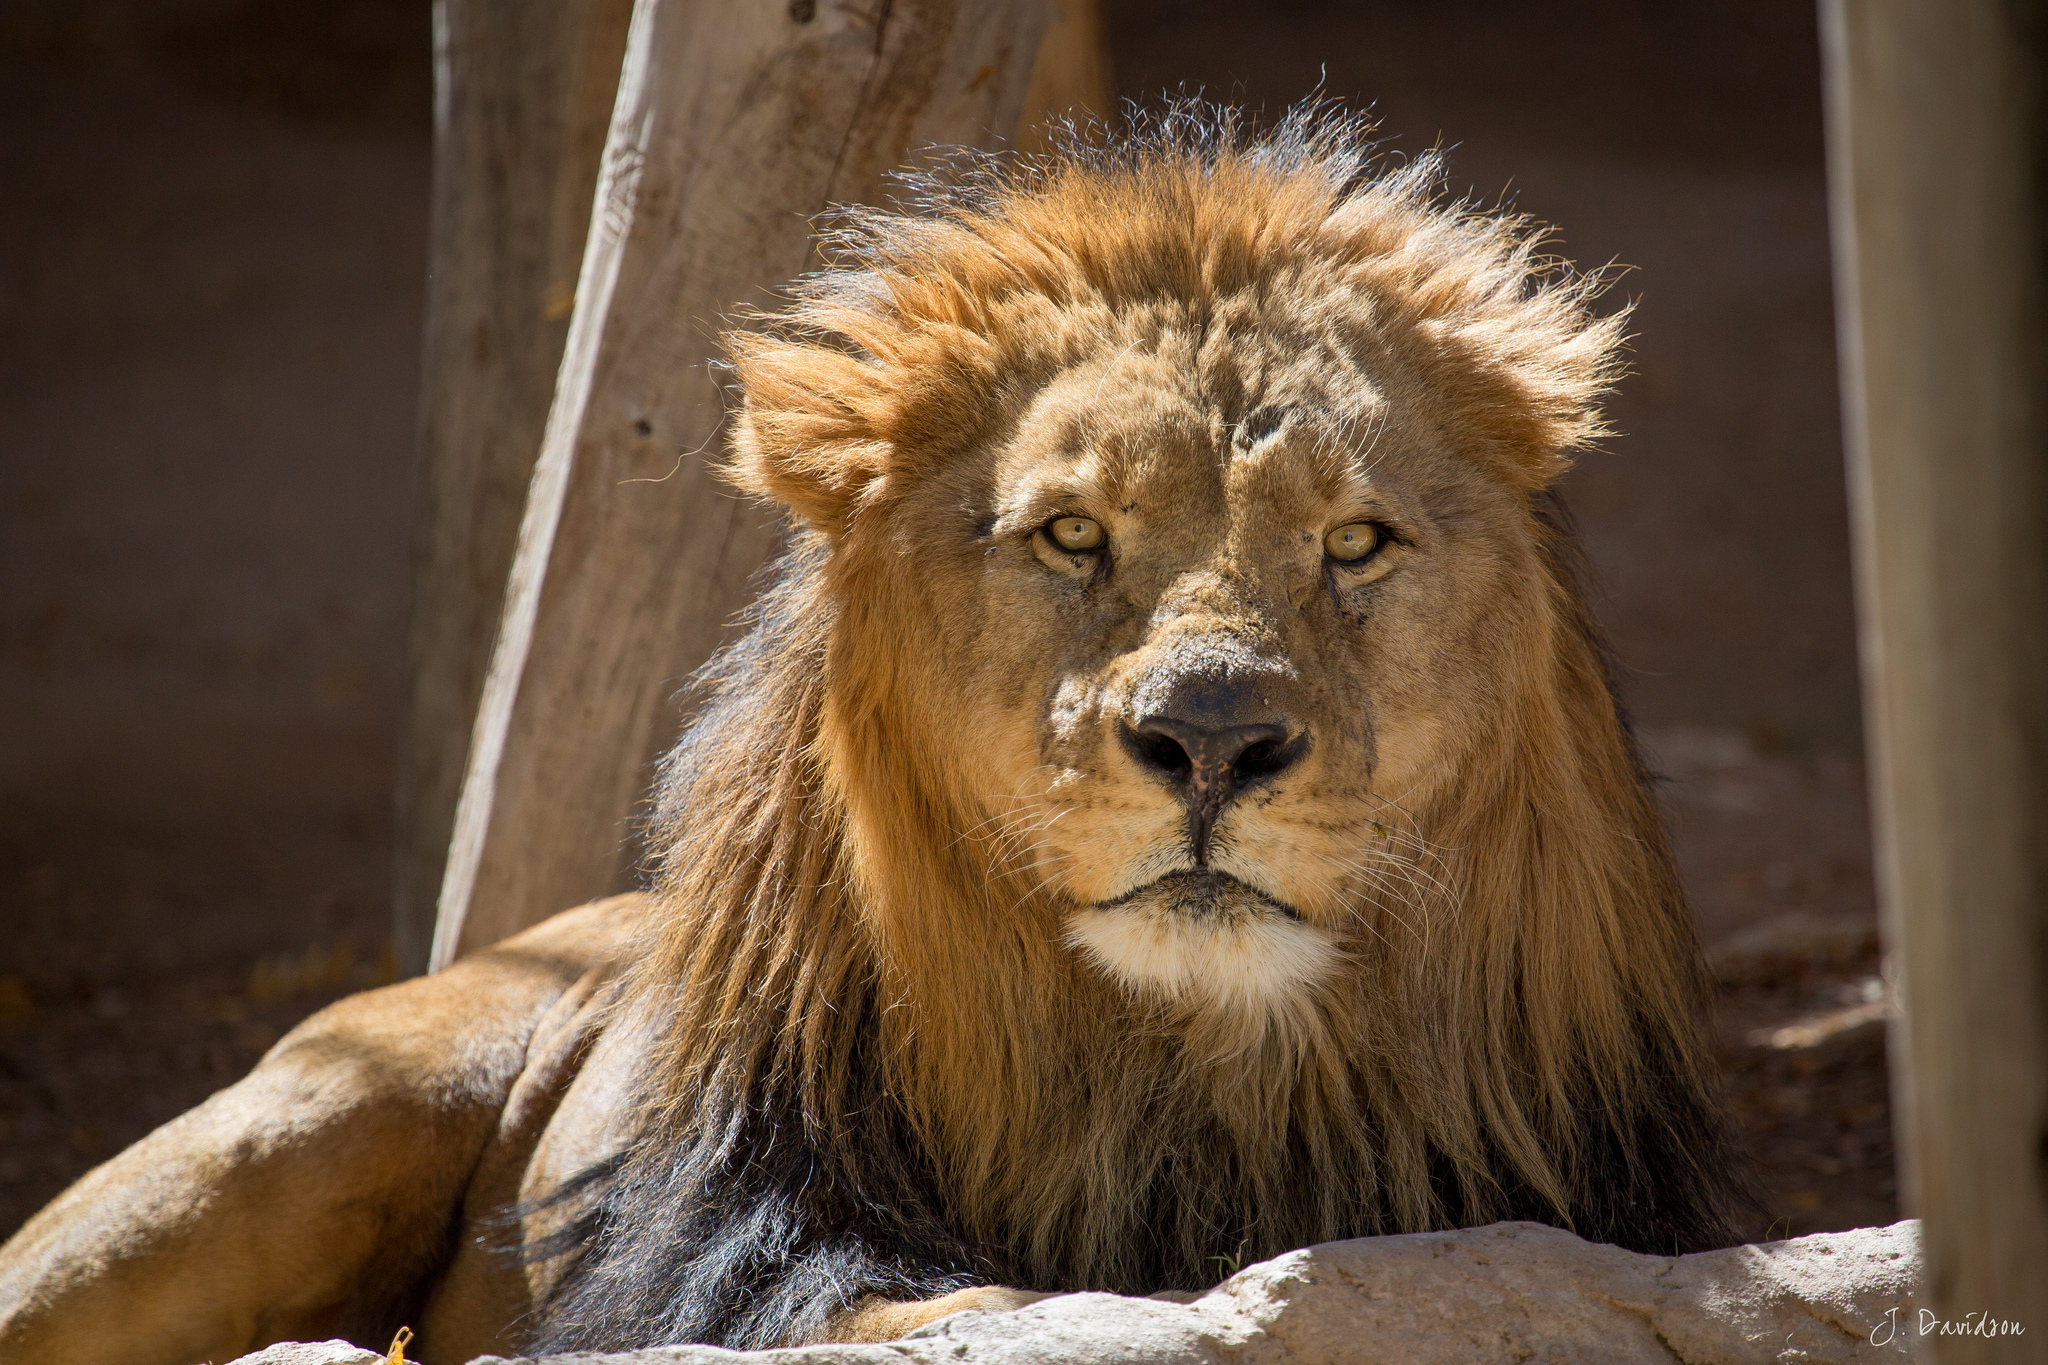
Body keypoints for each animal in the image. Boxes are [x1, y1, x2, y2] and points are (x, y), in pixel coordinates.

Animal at [4, 109, 1761, 1365]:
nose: (1211, 742)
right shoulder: (745, 1264)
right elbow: (981, 1310)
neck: (1187, 1087)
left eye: (1355, 542)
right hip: (281, 1139)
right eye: (1070, 534)